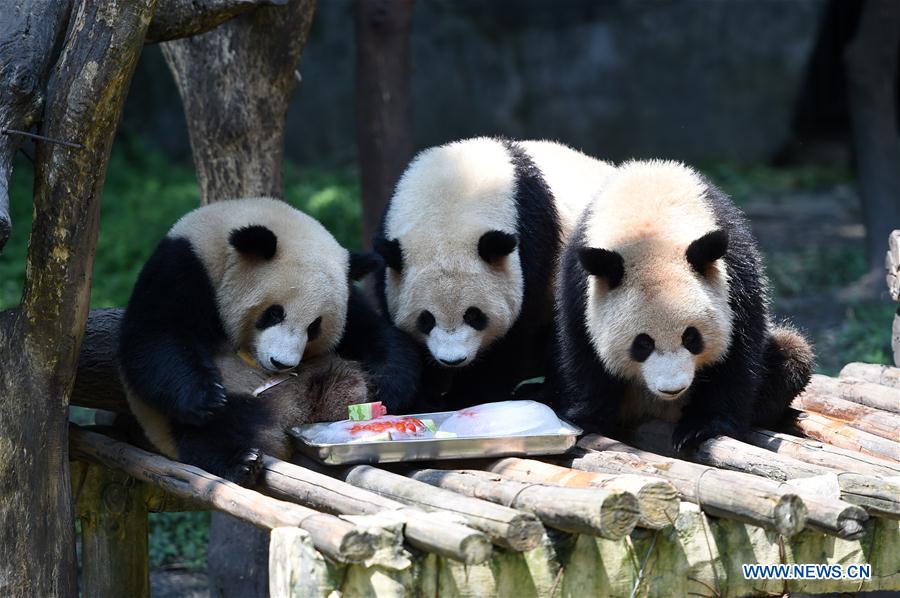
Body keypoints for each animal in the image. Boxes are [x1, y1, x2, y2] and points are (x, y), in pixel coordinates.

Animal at [118, 199, 422, 486]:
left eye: (314, 326)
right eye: (274, 313)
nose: (281, 363)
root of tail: (287, 423)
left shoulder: (348, 300)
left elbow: (373, 331)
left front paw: (388, 387)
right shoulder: (184, 267)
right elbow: (154, 339)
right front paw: (207, 396)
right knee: (210, 432)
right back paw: (241, 461)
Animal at [370, 139, 612, 412]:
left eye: (474, 315)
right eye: (426, 319)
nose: (453, 360)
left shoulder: (532, 250)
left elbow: (512, 341)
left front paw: (468, 396)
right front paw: (423, 397)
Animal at [548, 162, 816, 452]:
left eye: (691, 337)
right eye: (643, 343)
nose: (672, 389)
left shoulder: (735, 271)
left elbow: (738, 351)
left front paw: (700, 428)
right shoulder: (579, 285)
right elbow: (583, 351)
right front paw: (588, 422)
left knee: (792, 353)